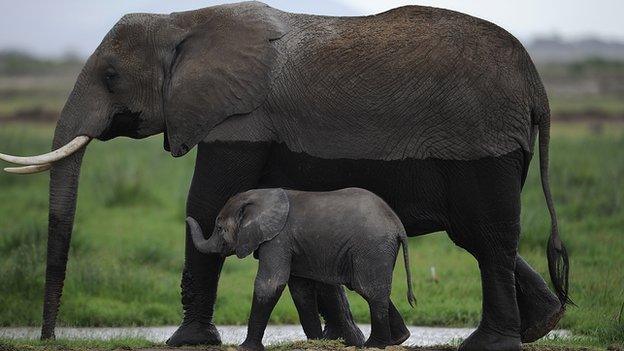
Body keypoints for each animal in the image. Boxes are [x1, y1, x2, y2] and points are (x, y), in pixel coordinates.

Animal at [188, 188, 416, 350]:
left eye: (219, 228)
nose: (187, 217)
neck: (259, 197)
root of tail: (398, 226)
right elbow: (300, 291)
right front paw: (317, 343)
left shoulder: (278, 239)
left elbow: (270, 284)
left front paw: (245, 348)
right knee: (370, 289)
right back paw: (398, 339)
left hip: (372, 248)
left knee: (368, 289)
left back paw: (374, 345)